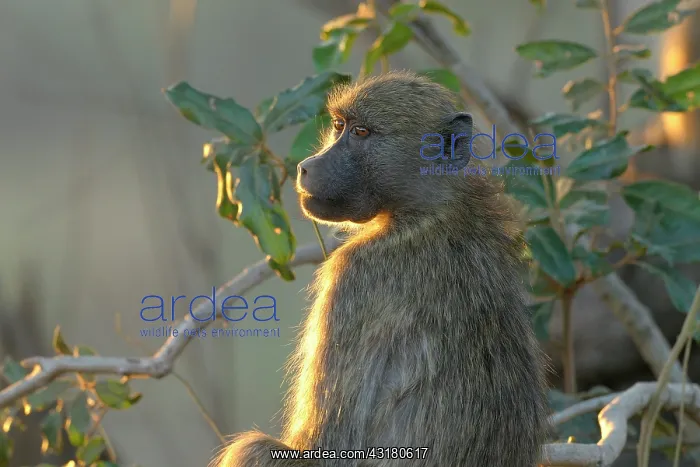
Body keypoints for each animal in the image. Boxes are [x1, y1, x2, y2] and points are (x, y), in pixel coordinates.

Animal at [212, 71, 550, 467]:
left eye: (362, 133)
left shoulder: (352, 276)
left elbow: (328, 446)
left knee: (255, 448)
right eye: (339, 126)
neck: (428, 211)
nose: (306, 167)